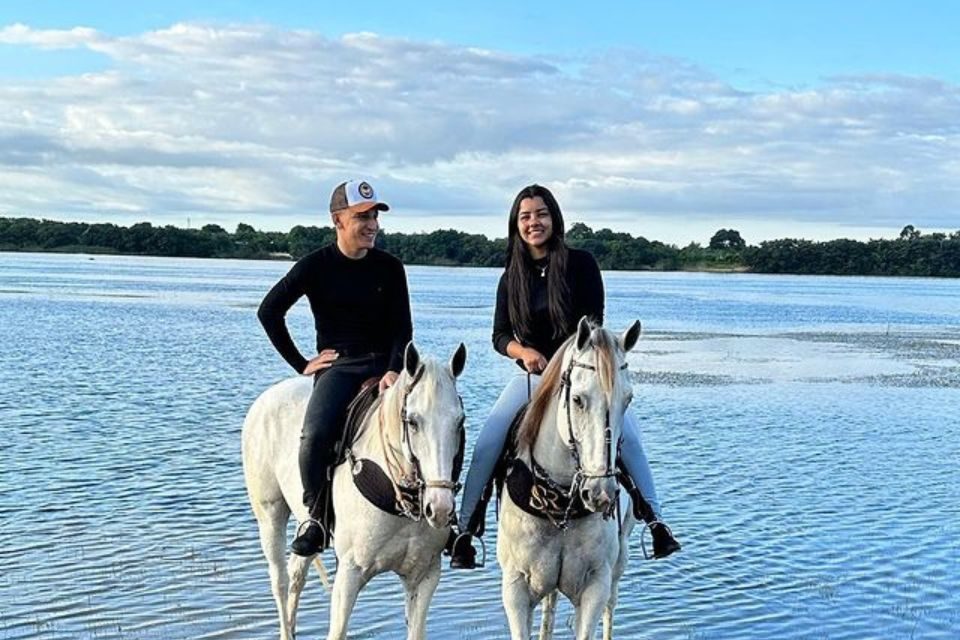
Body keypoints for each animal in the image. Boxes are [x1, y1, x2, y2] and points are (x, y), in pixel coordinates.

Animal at [240, 342, 464, 640]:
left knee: (297, 573)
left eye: (459, 422)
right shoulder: (349, 574)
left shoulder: (424, 576)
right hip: (270, 515)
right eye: (413, 422)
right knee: (280, 581)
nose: (439, 508)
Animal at [498, 318, 640, 640]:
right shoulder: (516, 587)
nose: (601, 493)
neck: (560, 500)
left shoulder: (595, 585)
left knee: (611, 607)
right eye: (577, 399)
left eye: (627, 399)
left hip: (619, 563)